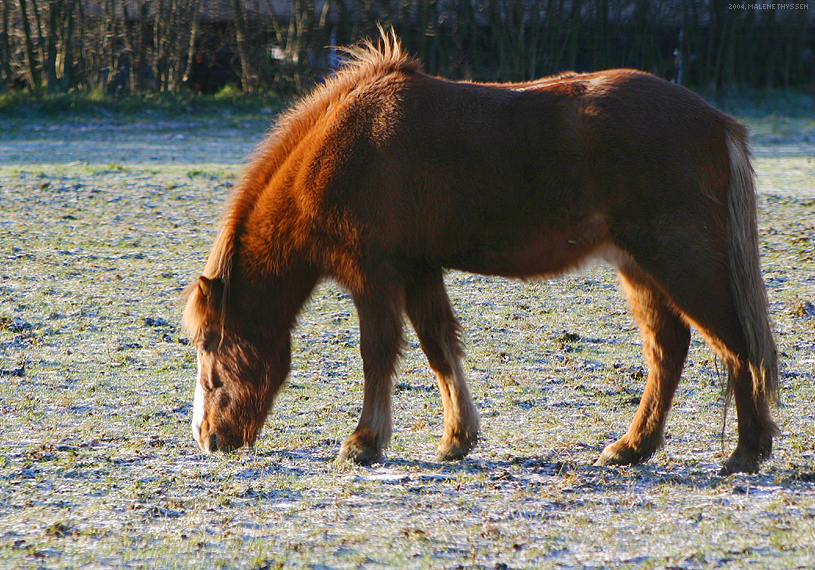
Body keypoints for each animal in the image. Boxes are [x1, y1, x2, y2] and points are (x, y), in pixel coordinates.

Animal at [182, 32, 780, 474]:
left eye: (212, 343)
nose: (208, 439)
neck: (339, 152)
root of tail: (717, 123)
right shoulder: (418, 272)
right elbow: (439, 346)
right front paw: (457, 438)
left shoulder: (374, 276)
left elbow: (378, 353)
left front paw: (364, 443)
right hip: (640, 269)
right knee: (668, 350)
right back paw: (632, 448)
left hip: (681, 263)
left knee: (735, 344)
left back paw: (745, 453)